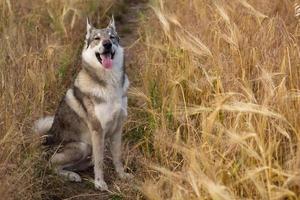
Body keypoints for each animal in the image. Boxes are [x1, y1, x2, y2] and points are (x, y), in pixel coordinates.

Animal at [33, 17, 131, 191]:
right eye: (97, 39)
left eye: (111, 37)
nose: (107, 44)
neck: (110, 82)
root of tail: (42, 144)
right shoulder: (97, 130)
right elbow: (99, 161)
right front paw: (99, 183)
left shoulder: (117, 129)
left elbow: (117, 158)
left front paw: (122, 175)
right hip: (82, 146)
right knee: (52, 165)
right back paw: (71, 176)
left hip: (87, 150)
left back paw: (74, 173)